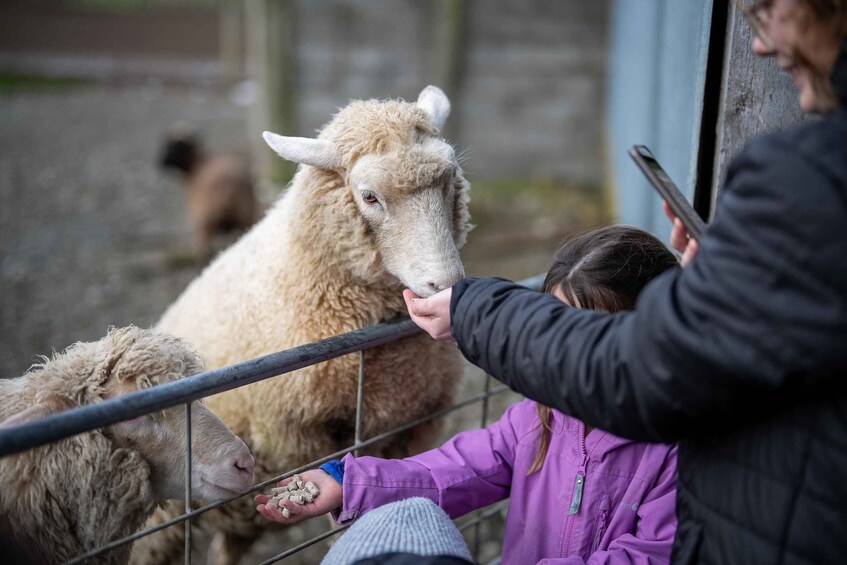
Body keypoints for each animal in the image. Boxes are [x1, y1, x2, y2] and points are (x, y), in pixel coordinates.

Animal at [159, 126, 261, 262]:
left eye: (177, 147)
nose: (161, 162)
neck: (197, 166)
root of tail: (228, 187)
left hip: (206, 220)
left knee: (206, 250)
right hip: (246, 215)